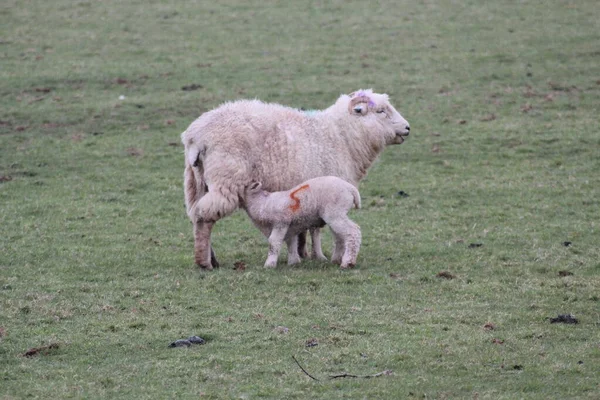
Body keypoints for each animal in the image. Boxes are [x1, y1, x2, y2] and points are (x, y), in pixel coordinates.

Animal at [180, 87, 410, 268]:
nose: (408, 128)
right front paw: (319, 256)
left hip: (196, 181)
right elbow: (317, 229)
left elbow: (304, 228)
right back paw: (205, 262)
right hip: (225, 179)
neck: (341, 136)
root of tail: (196, 135)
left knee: (196, 216)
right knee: (205, 219)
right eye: (381, 111)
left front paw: (302, 253)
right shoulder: (323, 188)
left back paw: (210, 257)